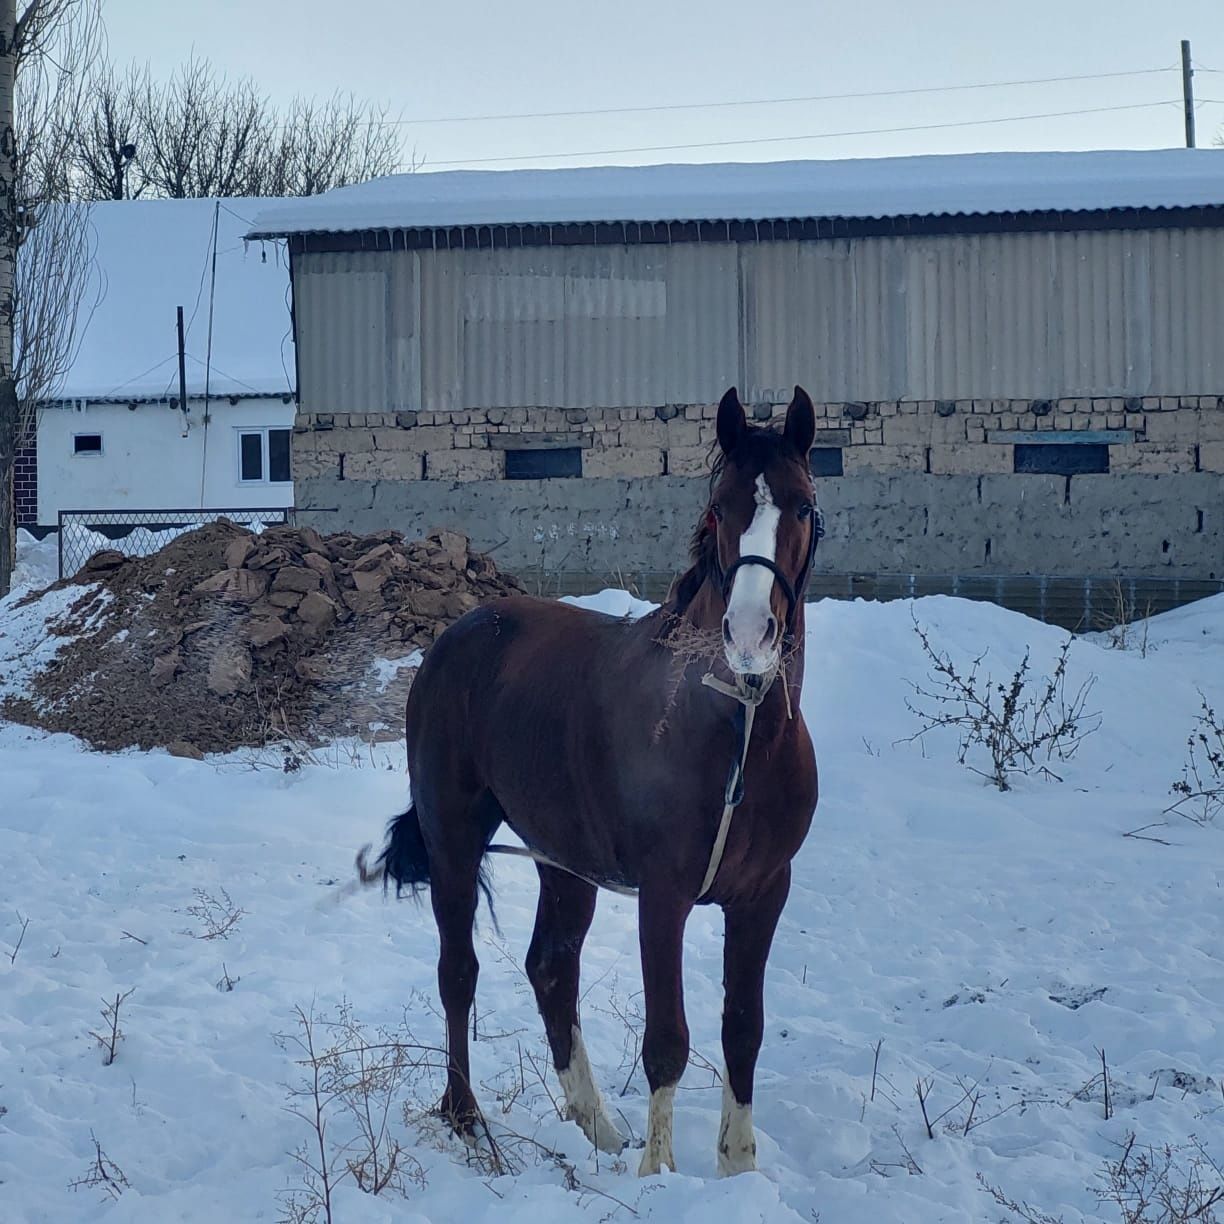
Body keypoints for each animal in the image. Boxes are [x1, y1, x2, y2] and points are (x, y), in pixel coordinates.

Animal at [362, 386, 822, 1179]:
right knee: (458, 973)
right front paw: (659, 1176)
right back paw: (467, 1118)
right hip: (455, 841)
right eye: (720, 508)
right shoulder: (665, 894)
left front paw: (737, 1169)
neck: (732, 723)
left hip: (564, 862)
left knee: (550, 968)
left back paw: (596, 1127)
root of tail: (458, 635)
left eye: (800, 504)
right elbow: (667, 1039)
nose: (749, 634)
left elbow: (743, 1028)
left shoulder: (764, 892)